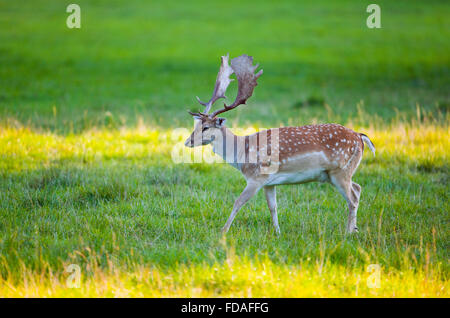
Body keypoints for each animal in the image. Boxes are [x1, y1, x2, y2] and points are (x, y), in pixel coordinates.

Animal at [184, 54, 376, 234]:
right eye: (196, 125)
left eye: (206, 127)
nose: (187, 142)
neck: (241, 152)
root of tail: (360, 137)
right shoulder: (270, 182)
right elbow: (273, 207)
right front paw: (277, 232)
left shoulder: (257, 177)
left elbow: (238, 202)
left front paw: (223, 231)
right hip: (334, 174)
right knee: (358, 188)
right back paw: (354, 229)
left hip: (340, 171)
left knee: (352, 199)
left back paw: (348, 232)